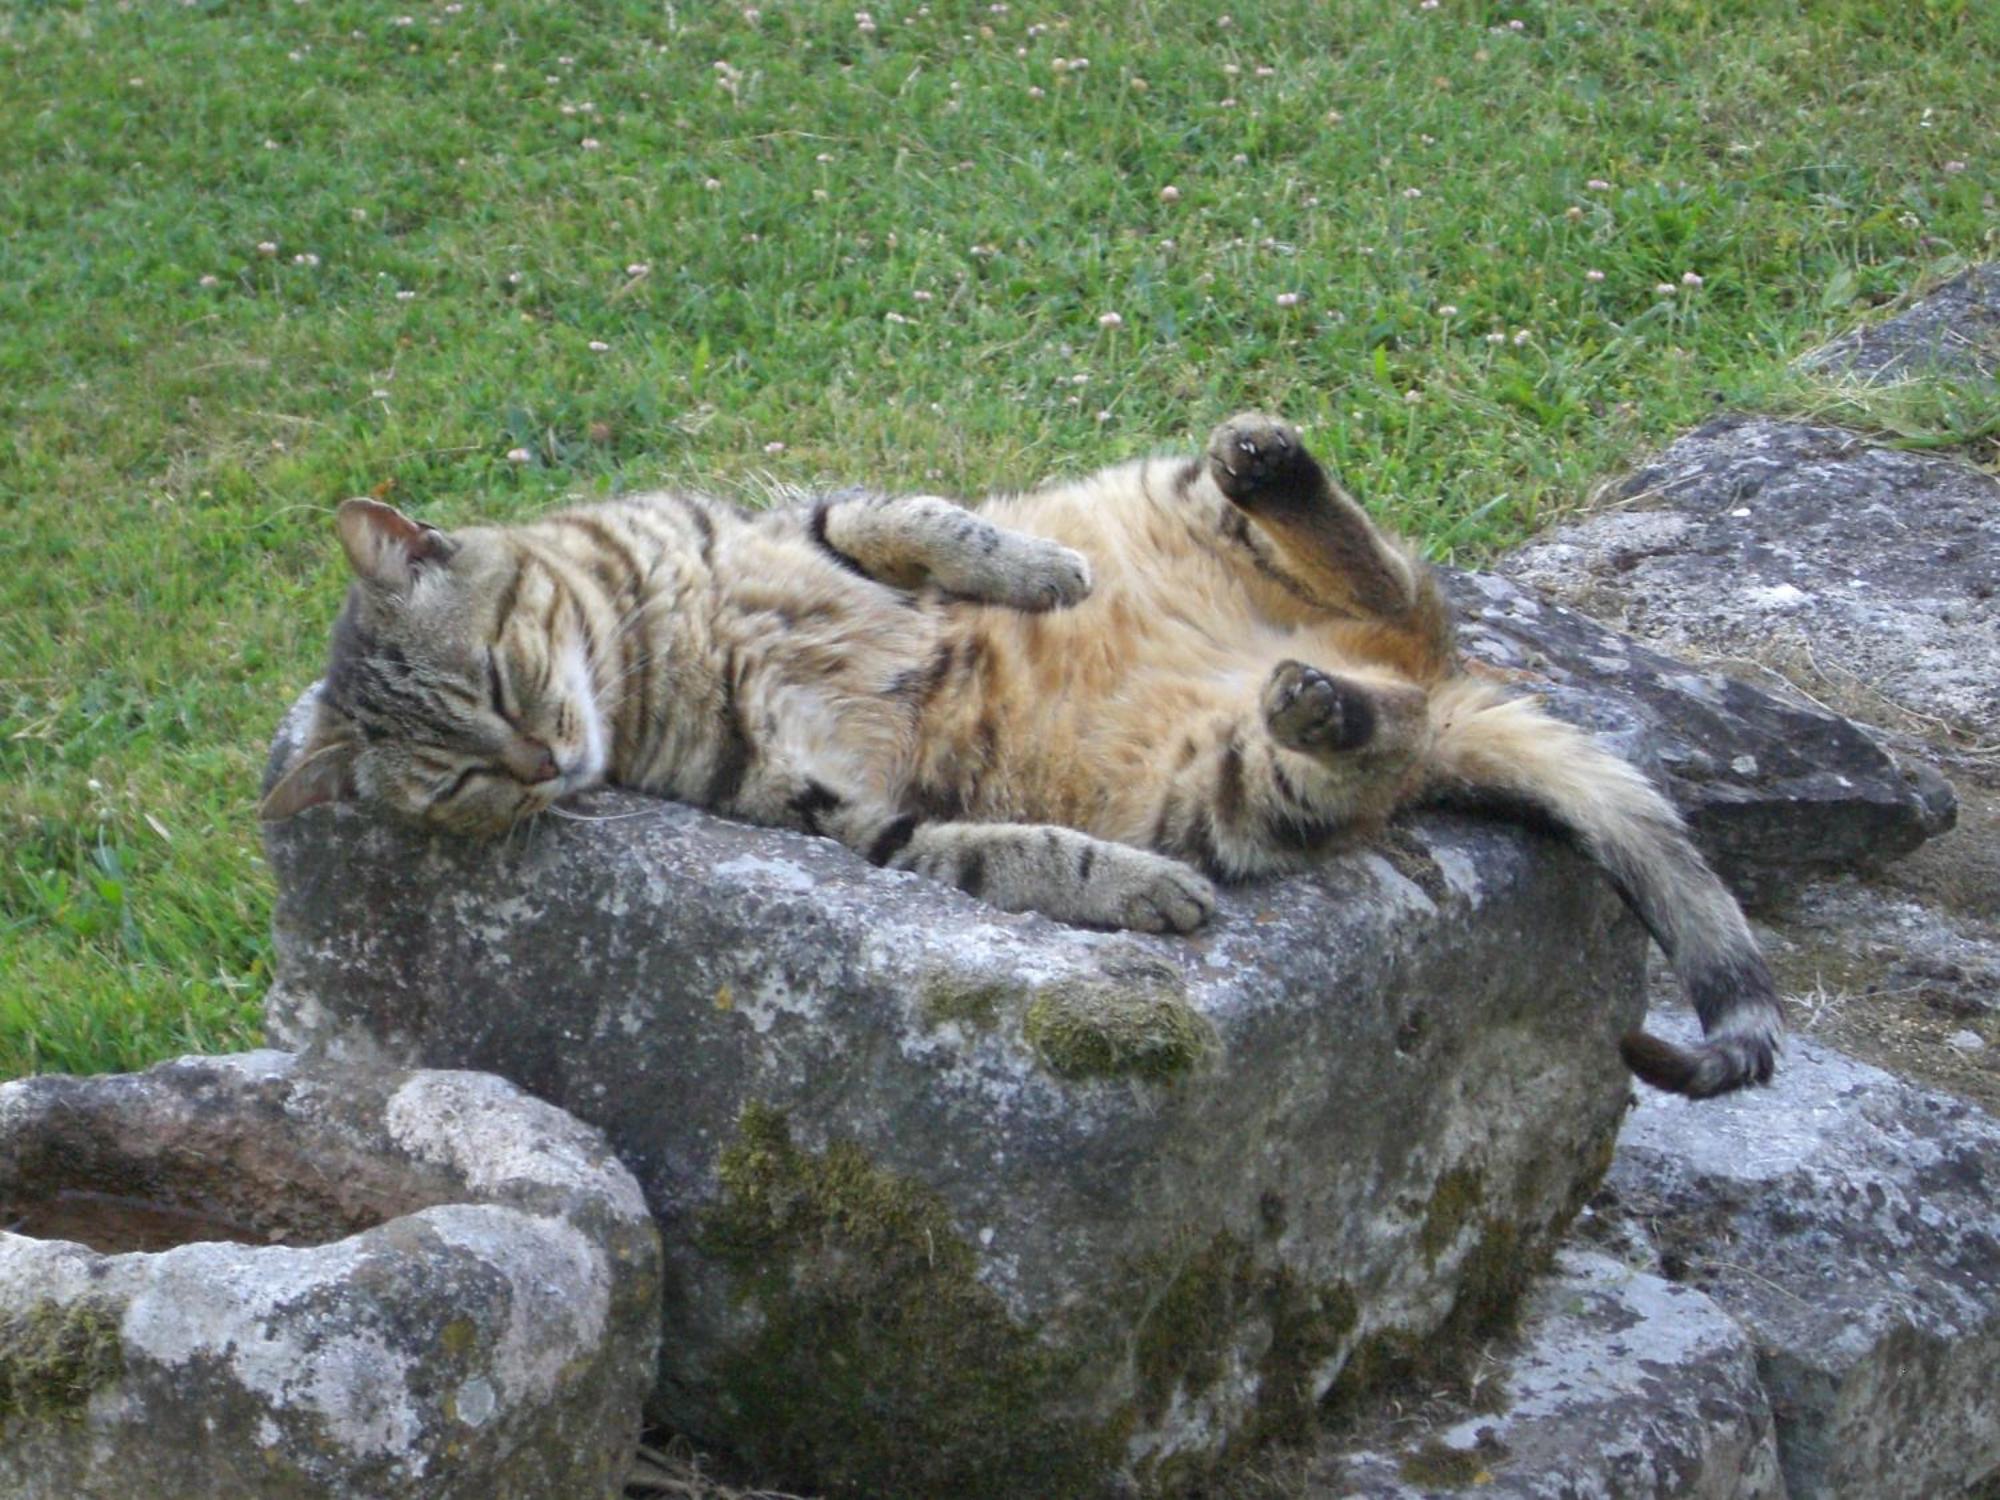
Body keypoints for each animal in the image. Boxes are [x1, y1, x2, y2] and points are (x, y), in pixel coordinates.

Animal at [266, 418, 1784, 1096]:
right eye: (456, 780)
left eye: (498, 679)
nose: (534, 763)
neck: (644, 656)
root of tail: (1428, 685)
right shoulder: (838, 814)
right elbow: (1000, 854)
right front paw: (1123, 888)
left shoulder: (798, 519)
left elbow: (914, 518)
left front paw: (1028, 573)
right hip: (1235, 784)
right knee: (1356, 737)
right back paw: (1320, 712)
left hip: (1192, 506)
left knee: (1384, 572)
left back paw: (1270, 468)